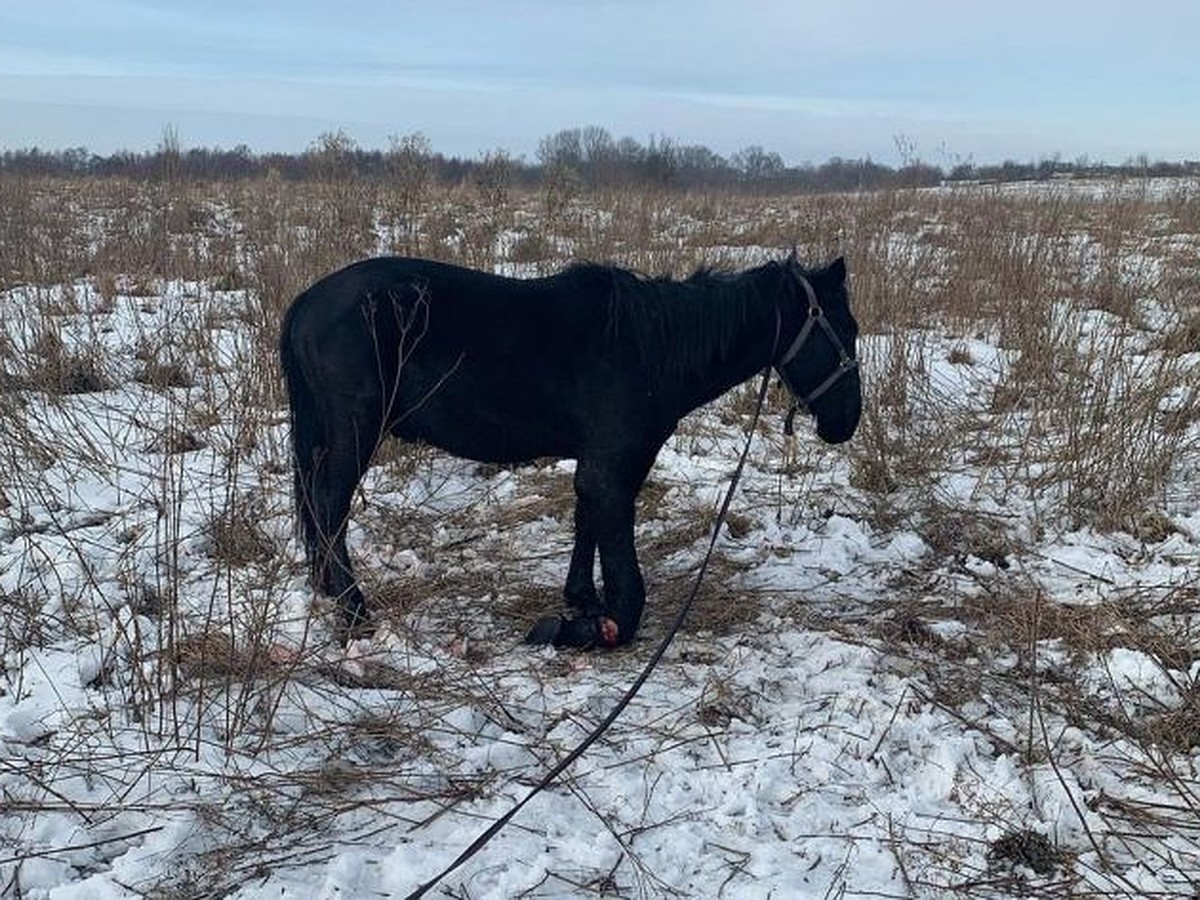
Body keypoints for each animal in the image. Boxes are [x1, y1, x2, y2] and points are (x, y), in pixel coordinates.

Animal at [280, 254, 864, 648]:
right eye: (846, 329)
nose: (847, 422)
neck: (651, 347)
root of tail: (307, 302)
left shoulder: (598, 461)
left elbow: (586, 521)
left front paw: (580, 597)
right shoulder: (614, 464)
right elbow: (621, 562)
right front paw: (595, 624)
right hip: (355, 432)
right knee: (329, 509)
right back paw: (355, 611)